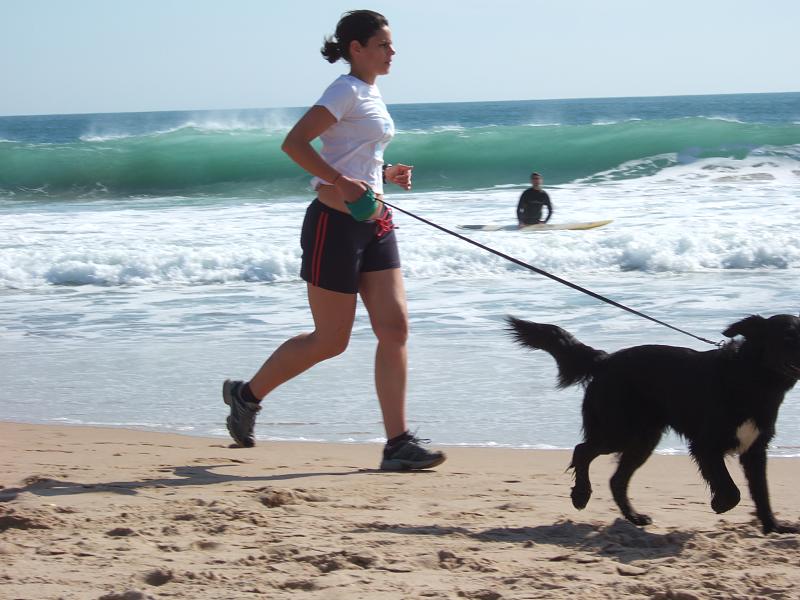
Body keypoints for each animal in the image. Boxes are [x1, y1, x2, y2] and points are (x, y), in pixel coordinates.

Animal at [506, 314, 800, 536]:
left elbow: (762, 492)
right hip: (619, 431)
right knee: (582, 450)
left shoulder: (755, 450)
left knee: (616, 479)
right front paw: (719, 503)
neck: (751, 379)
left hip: (643, 439)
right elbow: (732, 490)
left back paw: (634, 517)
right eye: (787, 338)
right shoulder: (706, 445)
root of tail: (605, 360)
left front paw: (773, 526)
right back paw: (581, 495)